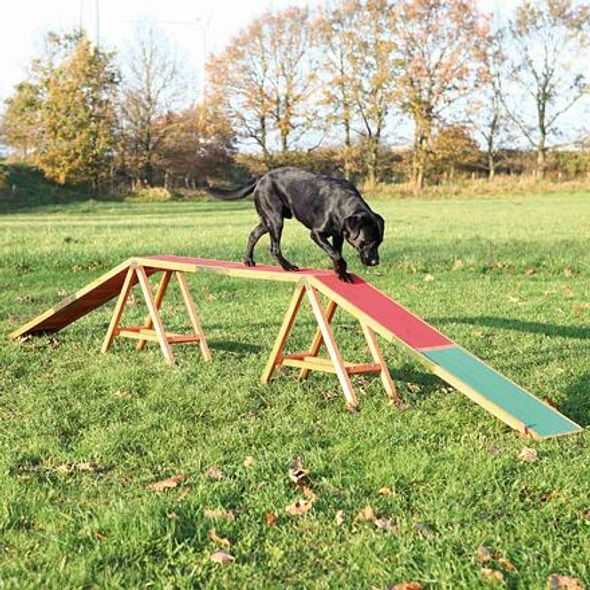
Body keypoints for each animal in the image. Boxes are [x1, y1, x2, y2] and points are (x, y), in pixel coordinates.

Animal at [209, 168, 388, 284]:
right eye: (366, 242)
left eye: (379, 243)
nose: (375, 262)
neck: (342, 204)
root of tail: (261, 178)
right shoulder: (316, 233)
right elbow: (336, 254)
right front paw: (341, 271)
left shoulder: (338, 235)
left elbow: (337, 253)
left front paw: (341, 273)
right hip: (275, 220)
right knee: (274, 248)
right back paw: (287, 266)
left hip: (268, 221)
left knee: (254, 234)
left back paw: (248, 259)